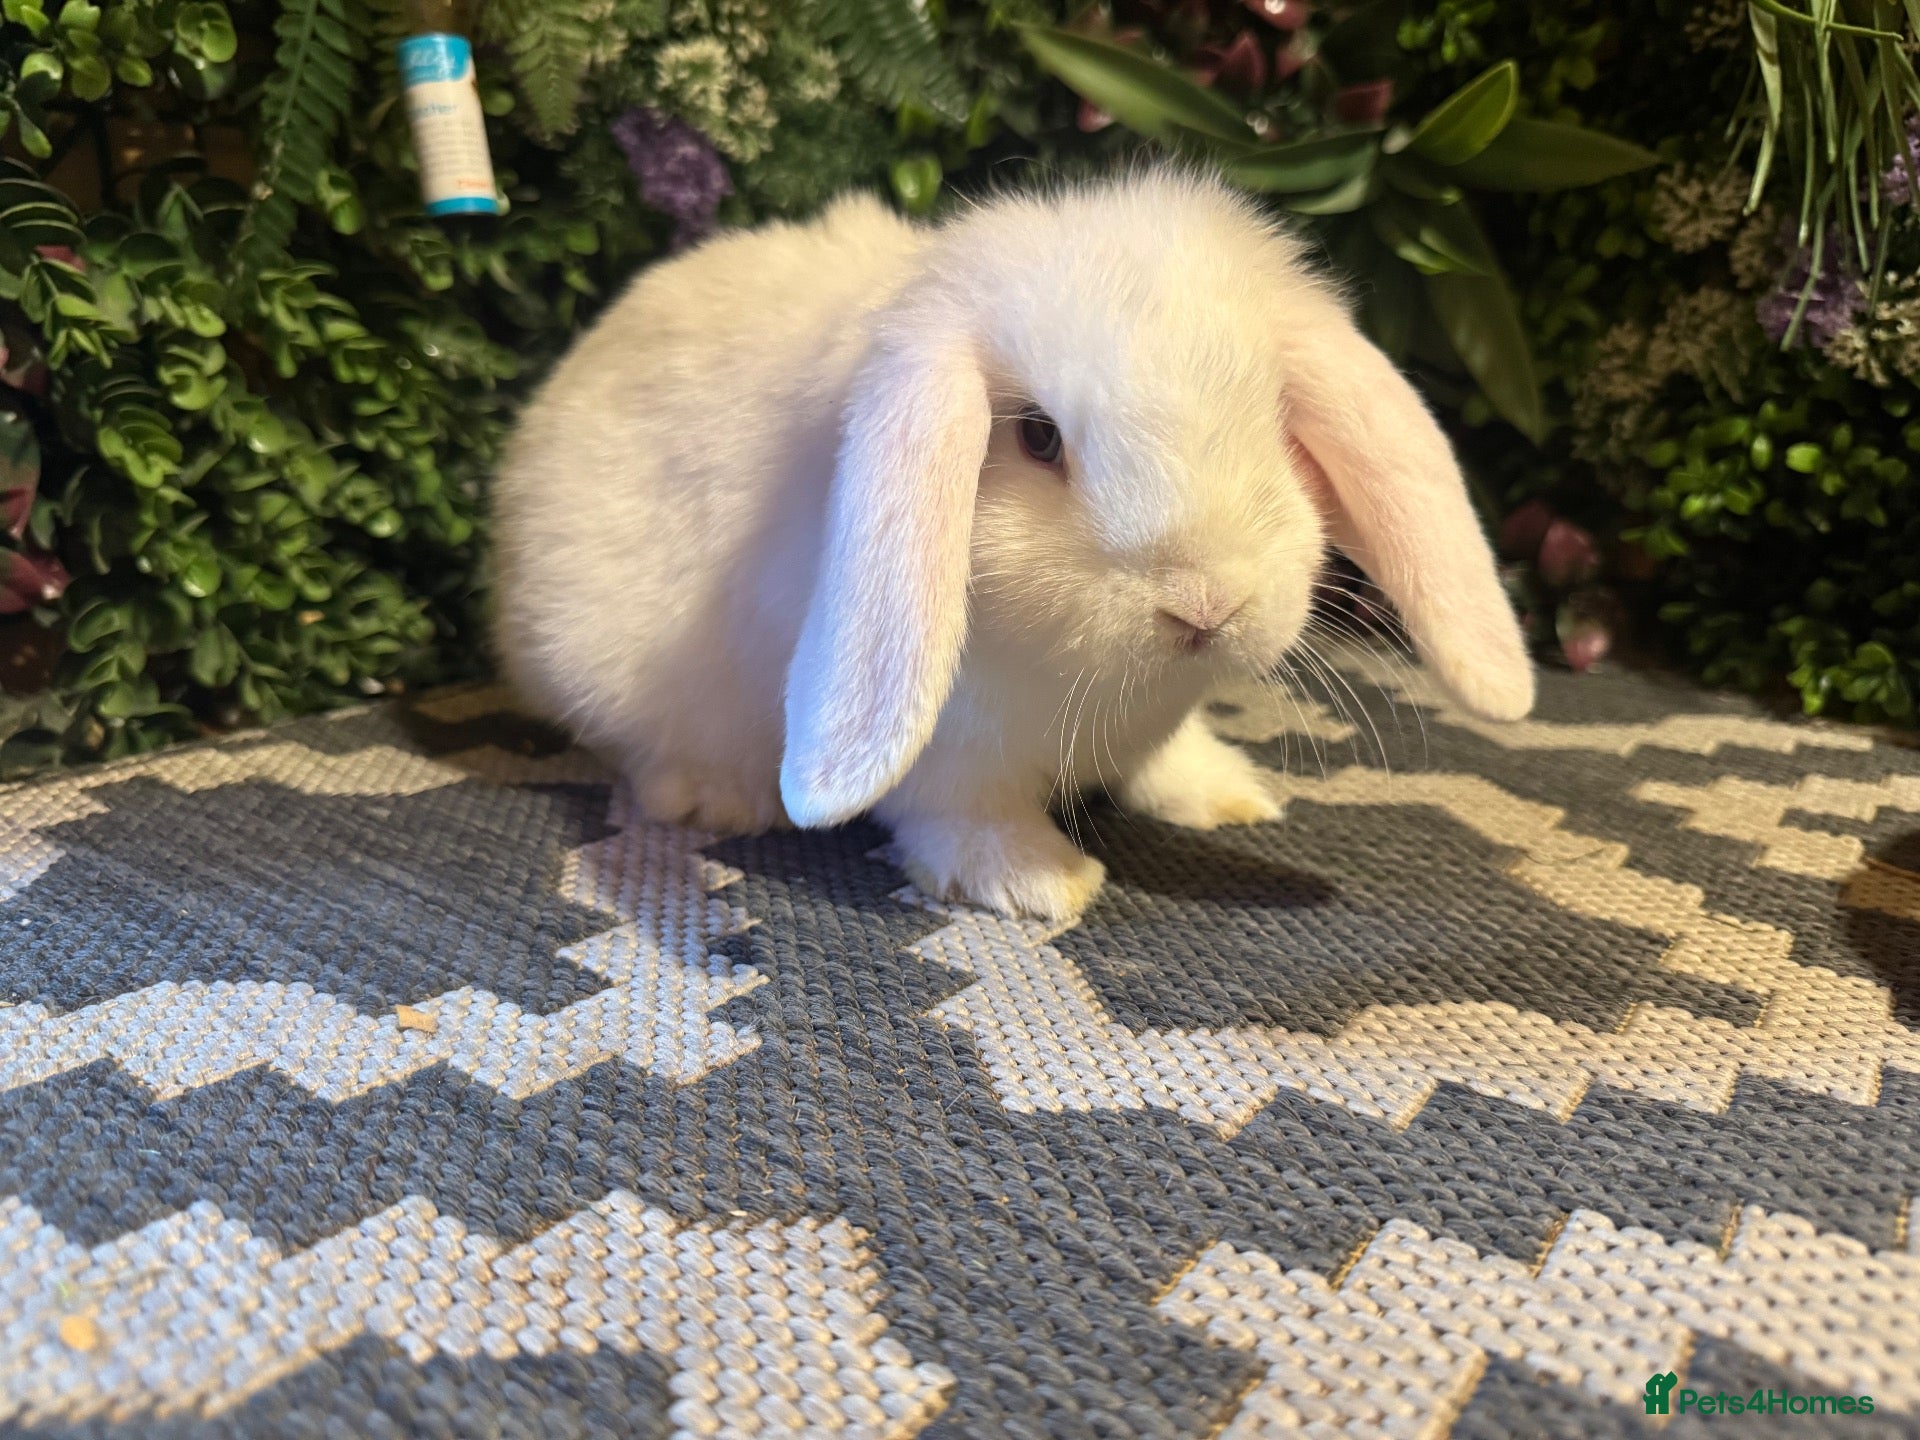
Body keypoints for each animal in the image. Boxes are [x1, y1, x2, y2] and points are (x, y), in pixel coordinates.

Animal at [490, 166, 1533, 921]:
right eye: (1037, 436)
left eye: (1276, 418)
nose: (1203, 604)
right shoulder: (951, 751)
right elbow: (962, 814)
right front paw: (1040, 883)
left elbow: (1169, 761)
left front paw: (1225, 794)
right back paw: (713, 796)